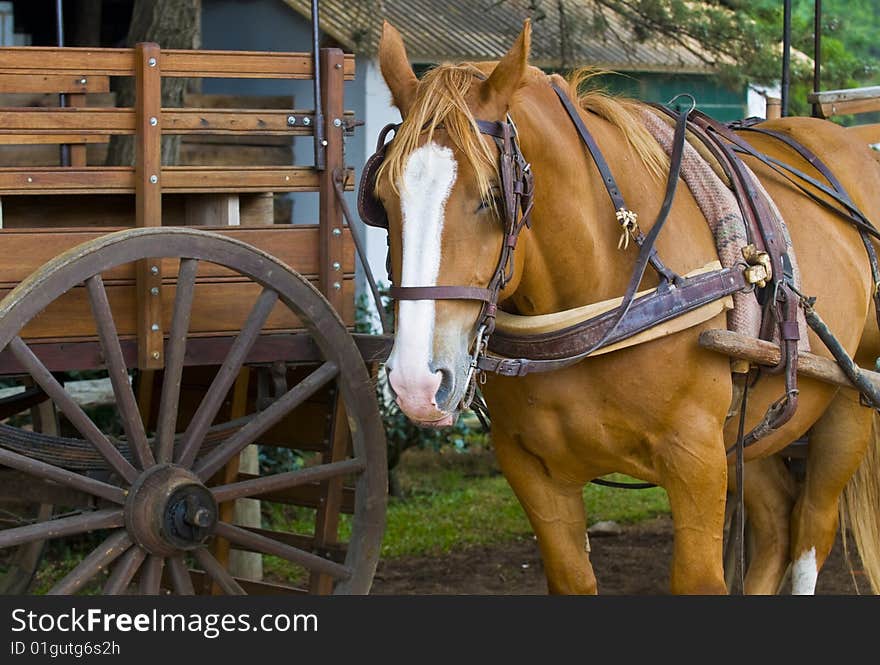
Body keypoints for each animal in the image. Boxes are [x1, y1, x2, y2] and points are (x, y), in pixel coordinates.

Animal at [372, 19, 880, 592]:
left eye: (492, 199)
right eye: (382, 199)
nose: (415, 383)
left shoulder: (698, 461)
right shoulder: (532, 472)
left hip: (849, 394)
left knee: (812, 529)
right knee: (775, 522)